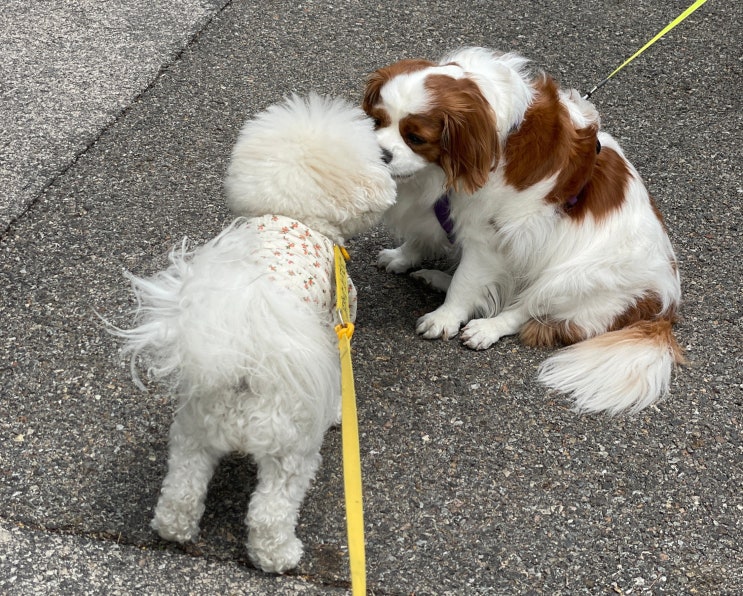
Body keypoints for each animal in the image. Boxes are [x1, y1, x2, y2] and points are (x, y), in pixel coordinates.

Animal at [113, 94, 398, 572]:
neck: (292, 214)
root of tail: (243, 363)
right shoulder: (340, 319)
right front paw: (338, 411)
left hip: (193, 432)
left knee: (182, 490)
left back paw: (174, 530)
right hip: (289, 448)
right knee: (269, 511)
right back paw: (279, 556)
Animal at [364, 47, 684, 414]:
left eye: (416, 138)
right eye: (377, 121)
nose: (380, 153)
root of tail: (663, 309)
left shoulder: (488, 237)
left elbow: (466, 284)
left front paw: (445, 317)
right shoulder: (438, 209)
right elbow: (421, 238)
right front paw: (403, 257)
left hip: (572, 279)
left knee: (523, 309)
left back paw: (486, 326)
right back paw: (436, 278)